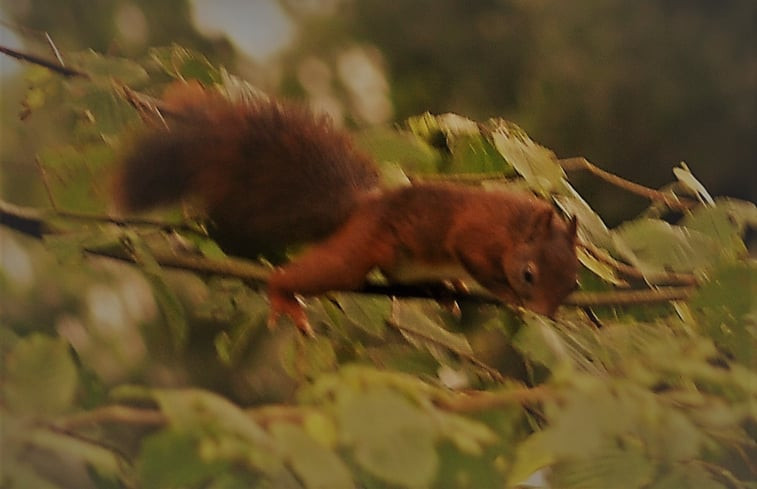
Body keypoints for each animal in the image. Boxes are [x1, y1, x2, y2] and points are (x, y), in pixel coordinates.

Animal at [110, 83, 580, 336]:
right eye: (528, 275)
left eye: (572, 284)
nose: (546, 313)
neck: (515, 228)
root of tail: (361, 208)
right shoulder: (475, 233)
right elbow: (470, 254)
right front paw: (506, 295)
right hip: (360, 250)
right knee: (325, 270)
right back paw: (283, 294)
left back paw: (445, 288)